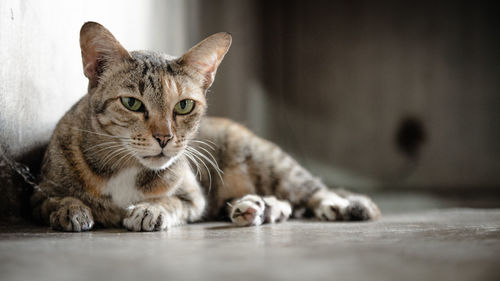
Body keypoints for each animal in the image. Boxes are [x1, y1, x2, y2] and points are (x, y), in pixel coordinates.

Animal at [30, 21, 378, 231]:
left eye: (184, 106)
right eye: (132, 103)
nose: (164, 137)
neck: (125, 166)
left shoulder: (194, 198)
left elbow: (172, 201)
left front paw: (150, 209)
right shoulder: (39, 192)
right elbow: (53, 200)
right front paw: (70, 209)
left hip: (267, 161)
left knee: (311, 190)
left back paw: (338, 204)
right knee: (287, 204)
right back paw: (258, 208)